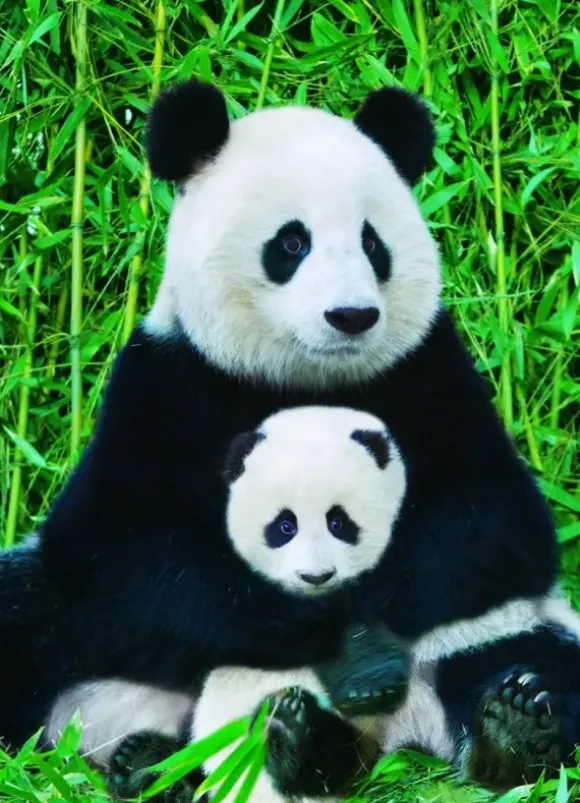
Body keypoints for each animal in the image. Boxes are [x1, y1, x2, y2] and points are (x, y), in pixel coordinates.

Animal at [1, 79, 579, 794]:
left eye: (372, 243)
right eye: (292, 243)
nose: (352, 316)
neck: (304, 378)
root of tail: (393, 738)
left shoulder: (430, 374)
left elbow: (492, 523)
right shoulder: (165, 385)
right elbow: (119, 555)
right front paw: (310, 615)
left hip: (508, 624)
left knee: (528, 653)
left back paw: (512, 726)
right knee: (28, 615)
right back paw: (187, 758)